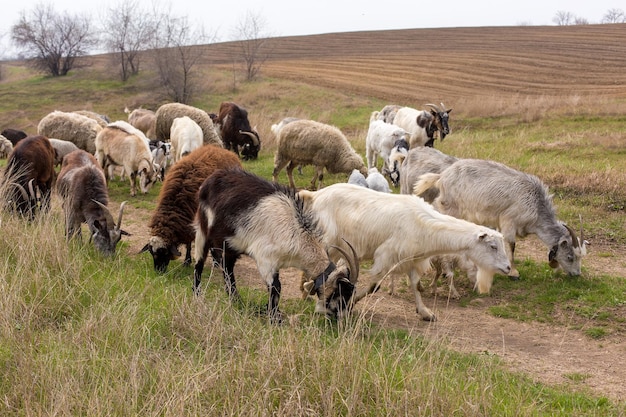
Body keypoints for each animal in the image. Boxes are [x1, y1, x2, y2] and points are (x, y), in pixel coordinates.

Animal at [193, 167, 358, 324]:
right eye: (341, 294)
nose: (340, 318)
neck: (296, 233)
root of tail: (211, 179)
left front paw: (272, 314)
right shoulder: (264, 258)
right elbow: (276, 288)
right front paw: (275, 319)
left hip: (231, 243)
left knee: (228, 269)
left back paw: (236, 300)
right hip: (202, 230)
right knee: (200, 262)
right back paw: (197, 294)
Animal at [298, 184, 512, 320]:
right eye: (493, 246)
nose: (508, 268)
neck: (425, 225)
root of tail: (314, 195)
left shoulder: (411, 259)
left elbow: (416, 285)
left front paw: (425, 313)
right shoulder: (386, 254)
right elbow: (374, 286)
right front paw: (352, 303)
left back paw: (305, 290)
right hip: (327, 240)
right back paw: (306, 290)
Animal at [414, 158, 584, 282]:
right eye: (570, 257)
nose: (576, 275)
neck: (535, 204)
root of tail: (442, 176)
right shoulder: (509, 220)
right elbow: (512, 244)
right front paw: (513, 272)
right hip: (450, 207)